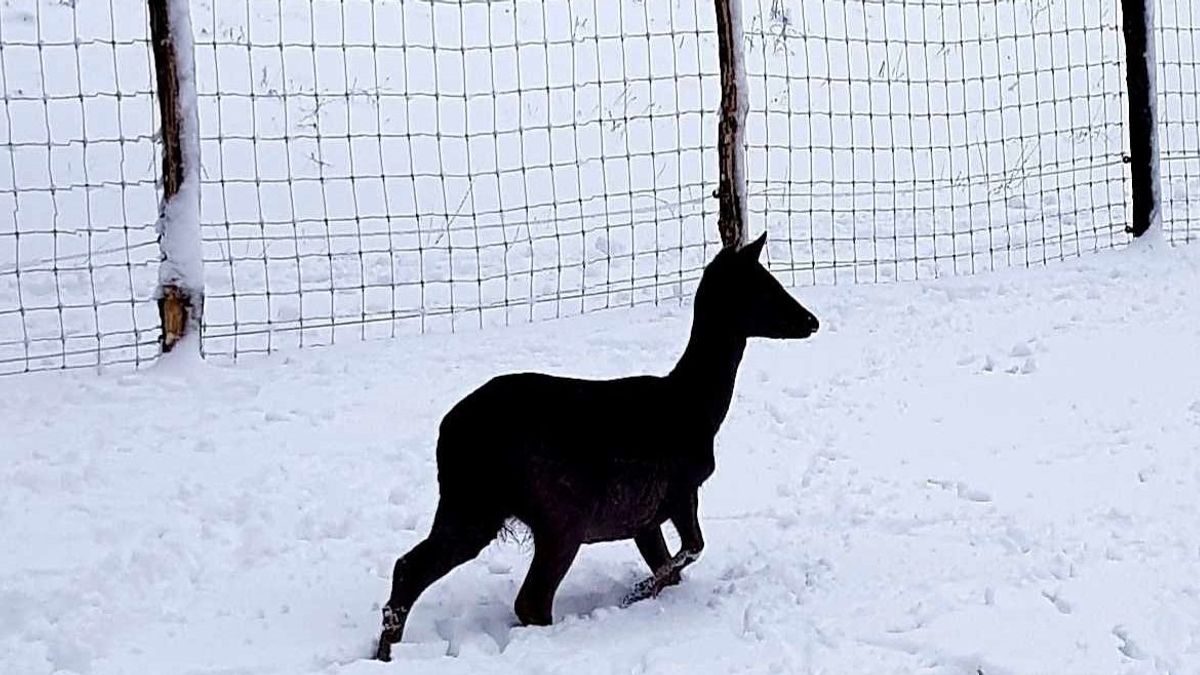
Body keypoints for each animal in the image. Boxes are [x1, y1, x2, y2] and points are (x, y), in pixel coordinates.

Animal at [372, 230, 816, 658]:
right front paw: (634, 593)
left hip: (470, 503)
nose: (812, 320)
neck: (695, 410)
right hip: (556, 513)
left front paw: (646, 591)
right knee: (529, 600)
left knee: (408, 566)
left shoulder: (643, 513)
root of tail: (446, 436)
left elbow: (672, 564)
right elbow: (692, 548)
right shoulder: (680, 486)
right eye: (764, 287)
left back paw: (386, 651)